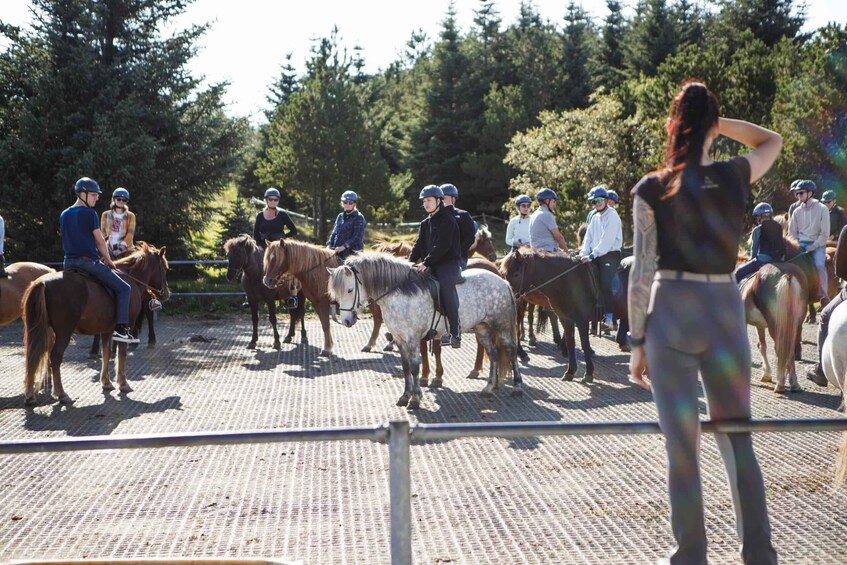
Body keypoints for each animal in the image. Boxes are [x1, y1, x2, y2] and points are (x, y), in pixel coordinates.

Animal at [22, 242, 169, 406]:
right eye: (164, 268)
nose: (166, 293)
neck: (131, 278)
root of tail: (42, 283)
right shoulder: (126, 327)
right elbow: (121, 354)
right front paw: (123, 383)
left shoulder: (106, 330)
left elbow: (106, 353)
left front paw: (106, 382)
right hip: (64, 332)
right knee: (55, 357)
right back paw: (61, 393)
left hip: (44, 331)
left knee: (33, 356)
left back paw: (30, 395)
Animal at [328, 253, 520, 408]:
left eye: (350, 290)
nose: (346, 321)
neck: (400, 293)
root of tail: (502, 281)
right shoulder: (400, 339)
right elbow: (405, 367)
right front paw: (405, 396)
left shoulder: (412, 338)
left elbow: (414, 367)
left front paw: (415, 399)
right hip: (482, 328)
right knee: (494, 354)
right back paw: (489, 388)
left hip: (501, 326)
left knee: (511, 351)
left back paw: (517, 386)